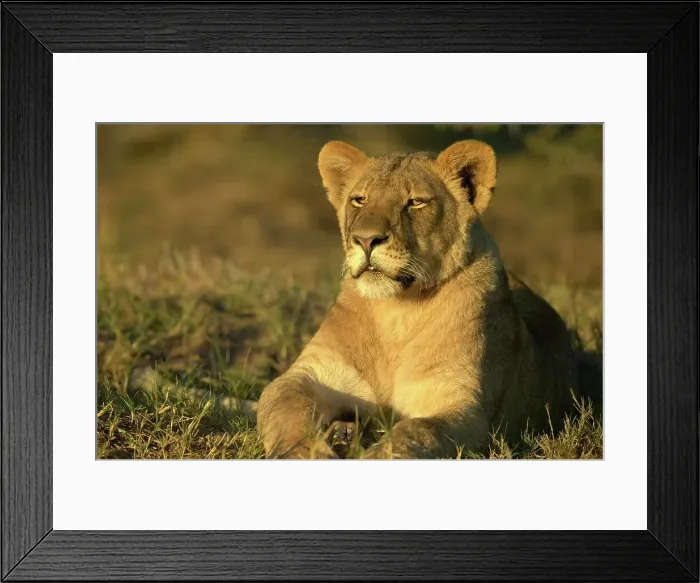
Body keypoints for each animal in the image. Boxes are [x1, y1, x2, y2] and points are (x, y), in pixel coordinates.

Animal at [256, 139, 580, 459]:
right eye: (359, 200)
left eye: (415, 202)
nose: (365, 239)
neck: (394, 313)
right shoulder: (309, 374)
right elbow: (284, 406)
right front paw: (302, 452)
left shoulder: (462, 403)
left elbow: (415, 431)